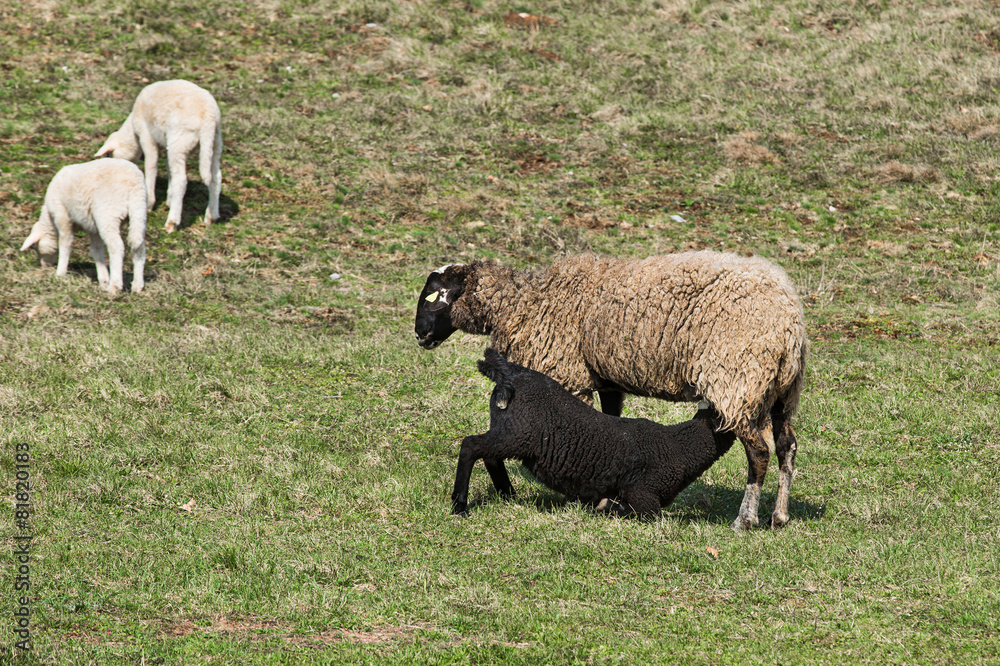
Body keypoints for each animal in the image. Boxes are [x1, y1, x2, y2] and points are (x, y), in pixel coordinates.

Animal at [20, 158, 147, 294]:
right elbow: (96, 250)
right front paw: (103, 280)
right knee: (138, 246)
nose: (45, 266)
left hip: (107, 214)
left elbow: (65, 244)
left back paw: (115, 286)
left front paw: (60, 273)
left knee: (116, 247)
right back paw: (137, 286)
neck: (50, 220)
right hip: (139, 213)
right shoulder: (93, 228)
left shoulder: (62, 216)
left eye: (35, 247)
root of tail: (133, 183)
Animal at [96, 79, 223, 233]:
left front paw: (149, 204)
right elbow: (169, 169)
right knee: (215, 177)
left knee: (181, 180)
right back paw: (211, 216)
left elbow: (151, 165)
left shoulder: (146, 135)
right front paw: (169, 199)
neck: (133, 132)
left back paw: (172, 222)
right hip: (214, 144)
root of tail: (208, 117)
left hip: (180, 141)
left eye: (110, 154)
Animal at [450, 350, 740, 516]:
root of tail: (509, 374)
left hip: (507, 429)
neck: (680, 446)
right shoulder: (643, 493)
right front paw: (608, 506)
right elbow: (648, 514)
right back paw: (459, 506)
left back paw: (508, 495)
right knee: (471, 445)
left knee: (490, 455)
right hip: (519, 433)